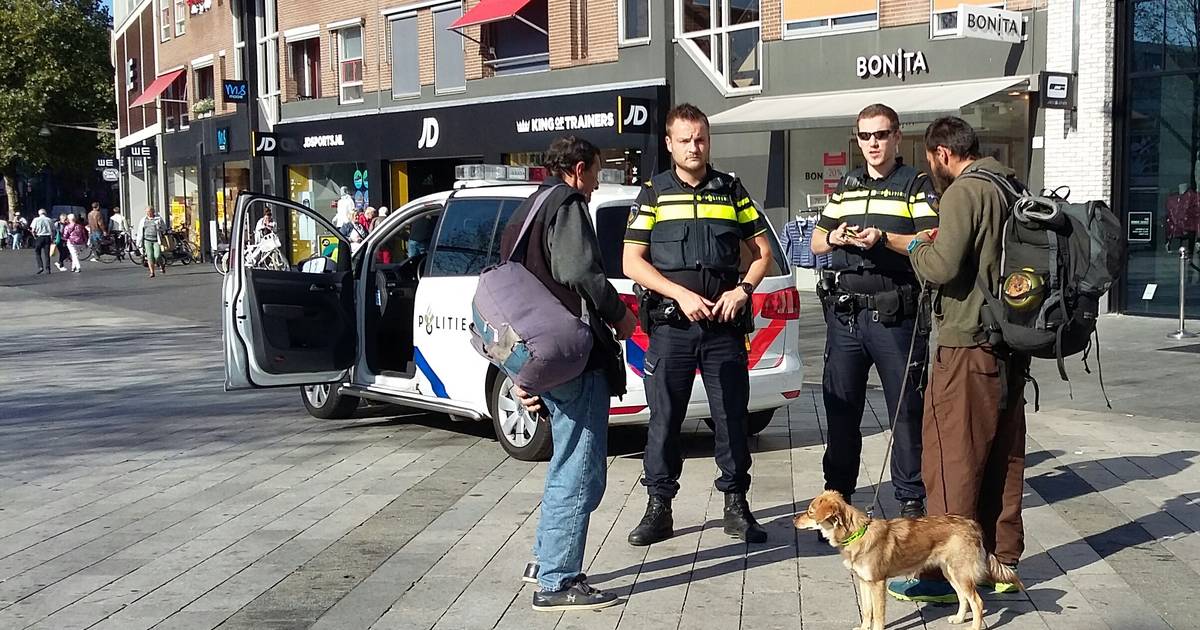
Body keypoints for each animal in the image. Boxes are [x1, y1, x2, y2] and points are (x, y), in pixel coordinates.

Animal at [796, 492, 1022, 628]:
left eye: (810, 512)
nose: (793, 519)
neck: (857, 533)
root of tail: (971, 524)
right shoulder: (864, 581)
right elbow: (867, 611)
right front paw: (863, 627)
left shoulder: (877, 583)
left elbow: (878, 615)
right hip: (951, 573)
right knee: (963, 598)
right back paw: (958, 619)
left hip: (960, 573)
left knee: (977, 601)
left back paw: (974, 626)